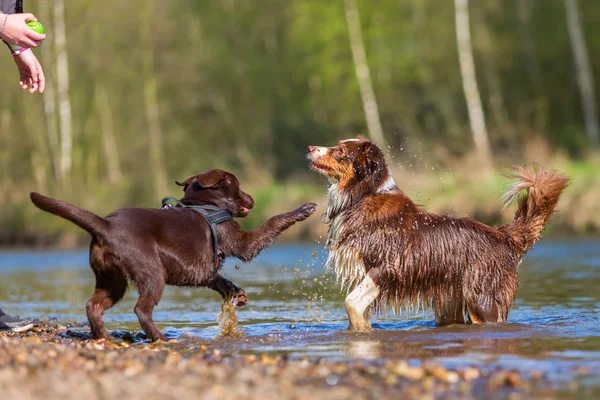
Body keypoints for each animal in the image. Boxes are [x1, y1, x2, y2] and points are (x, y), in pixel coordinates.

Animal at [31, 169, 318, 340]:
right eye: (237, 185)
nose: (254, 200)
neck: (205, 205)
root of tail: (106, 224)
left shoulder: (202, 270)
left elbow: (219, 280)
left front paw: (236, 293)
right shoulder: (241, 242)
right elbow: (272, 222)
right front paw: (304, 208)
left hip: (111, 279)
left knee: (93, 306)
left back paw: (106, 338)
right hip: (151, 272)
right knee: (141, 309)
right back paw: (160, 338)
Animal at [308, 138, 568, 332]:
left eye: (340, 151)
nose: (310, 148)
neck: (362, 195)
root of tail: (500, 235)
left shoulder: (389, 267)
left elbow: (350, 302)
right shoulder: (364, 272)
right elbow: (358, 309)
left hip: (483, 300)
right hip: (450, 301)